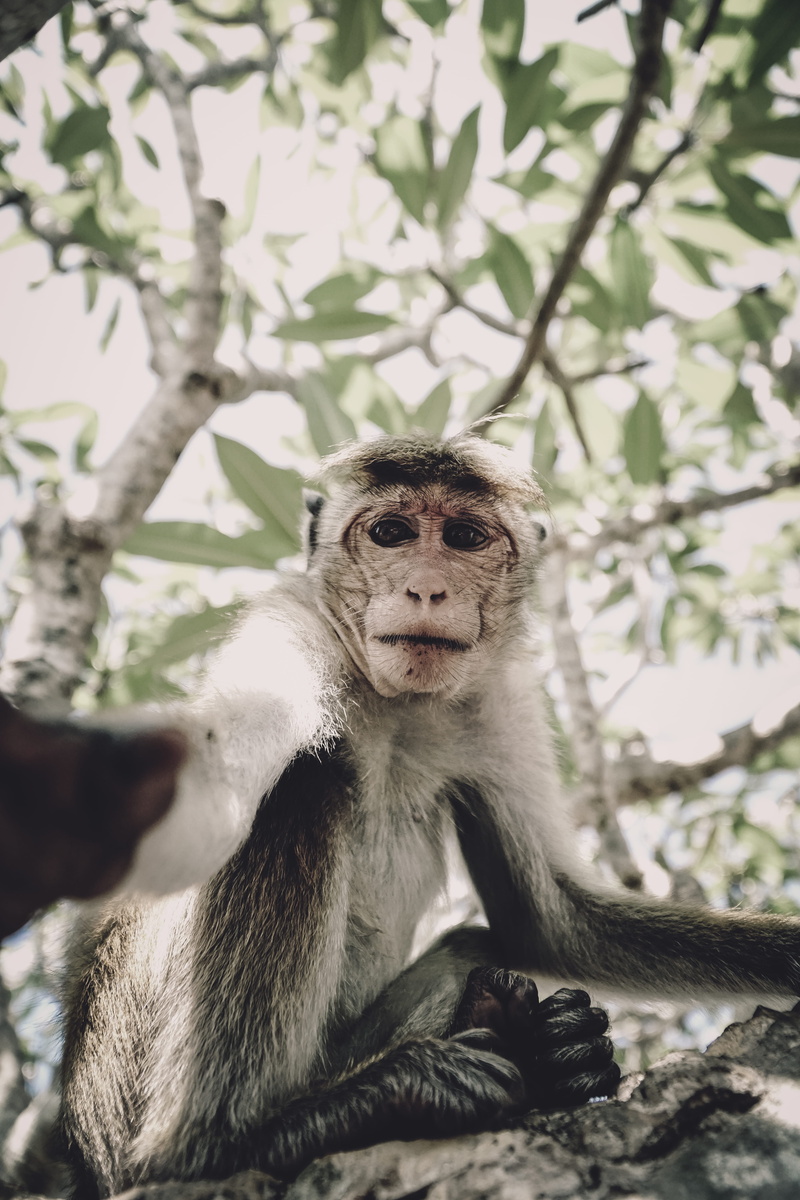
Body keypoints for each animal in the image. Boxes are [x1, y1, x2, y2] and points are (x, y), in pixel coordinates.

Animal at [58, 433, 800, 1198]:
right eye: (392, 533)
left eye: (465, 538)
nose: (427, 588)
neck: (394, 701)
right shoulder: (291, 627)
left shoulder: (497, 695)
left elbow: (548, 919)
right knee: (300, 784)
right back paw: (249, 1137)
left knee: (472, 943)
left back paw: (533, 1045)